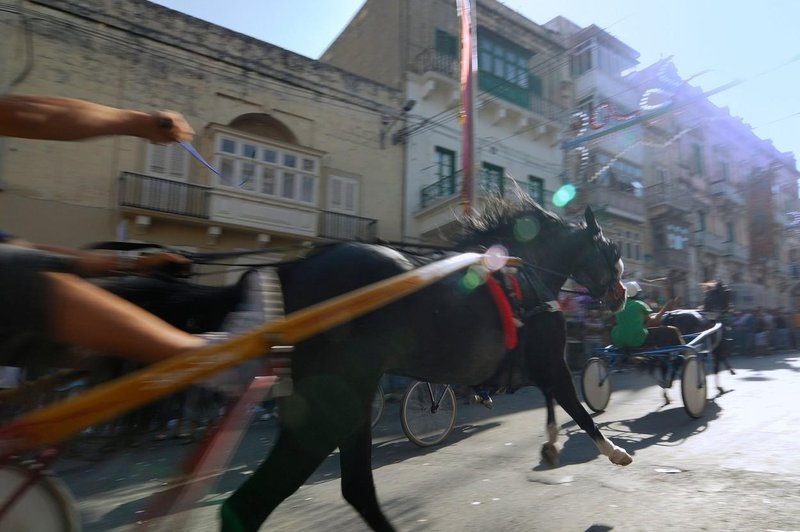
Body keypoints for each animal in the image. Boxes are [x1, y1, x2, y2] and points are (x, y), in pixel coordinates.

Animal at [220, 200, 632, 532]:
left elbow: (552, 403)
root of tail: (295, 269)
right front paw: (613, 450)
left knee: (355, 489)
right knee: (250, 501)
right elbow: (578, 410)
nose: (622, 295)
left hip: (351, 401)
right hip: (328, 409)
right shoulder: (551, 364)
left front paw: (550, 445)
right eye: (611, 250)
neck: (524, 276)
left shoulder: (536, 366)